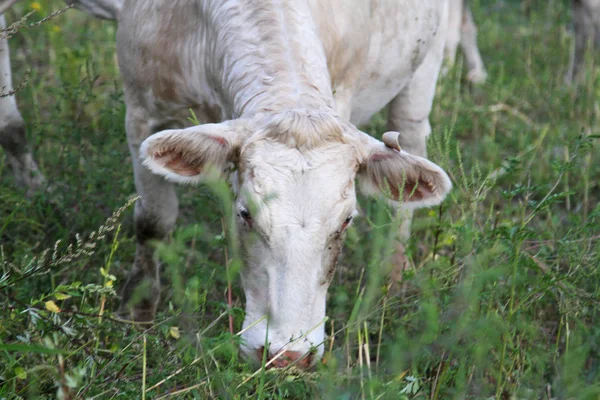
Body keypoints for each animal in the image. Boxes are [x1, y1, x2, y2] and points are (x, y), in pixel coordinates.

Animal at [115, 0, 452, 368]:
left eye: (346, 220)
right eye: (245, 214)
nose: (288, 354)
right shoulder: (142, 110)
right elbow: (154, 221)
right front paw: (138, 310)